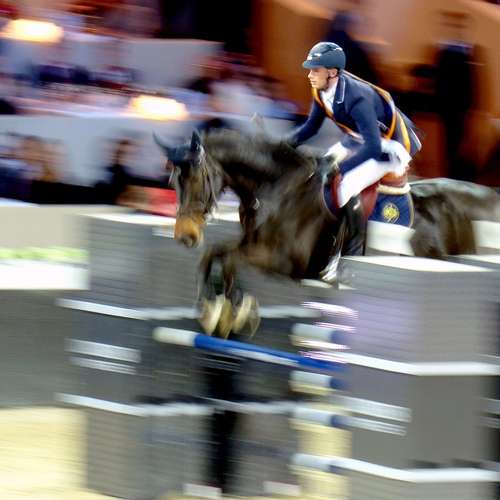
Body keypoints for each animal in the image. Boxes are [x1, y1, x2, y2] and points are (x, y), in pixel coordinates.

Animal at [154, 128, 500, 337]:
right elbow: (215, 254)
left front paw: (232, 312)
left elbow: (230, 258)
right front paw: (218, 309)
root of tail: (492, 195)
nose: (185, 236)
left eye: (196, 179)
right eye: (173, 181)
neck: (276, 187)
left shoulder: (286, 261)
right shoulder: (253, 244)